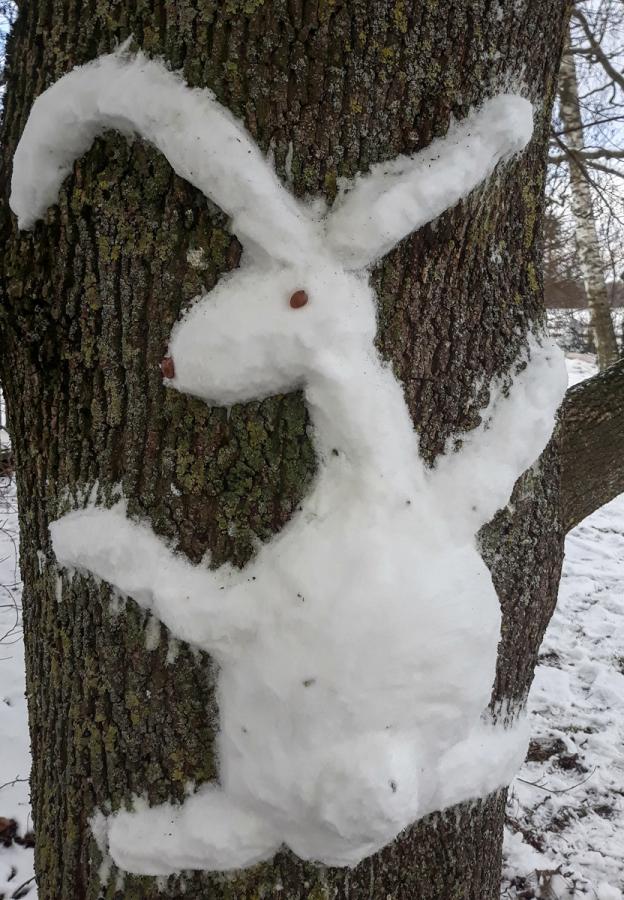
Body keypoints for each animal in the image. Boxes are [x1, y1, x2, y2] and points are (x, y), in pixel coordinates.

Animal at [10, 47, 565, 874]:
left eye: (296, 297)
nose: (170, 361)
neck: (377, 499)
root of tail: (304, 835)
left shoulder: (249, 610)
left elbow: (177, 593)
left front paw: (84, 537)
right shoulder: (446, 504)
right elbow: (492, 462)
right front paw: (550, 373)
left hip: (363, 774)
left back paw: (124, 838)